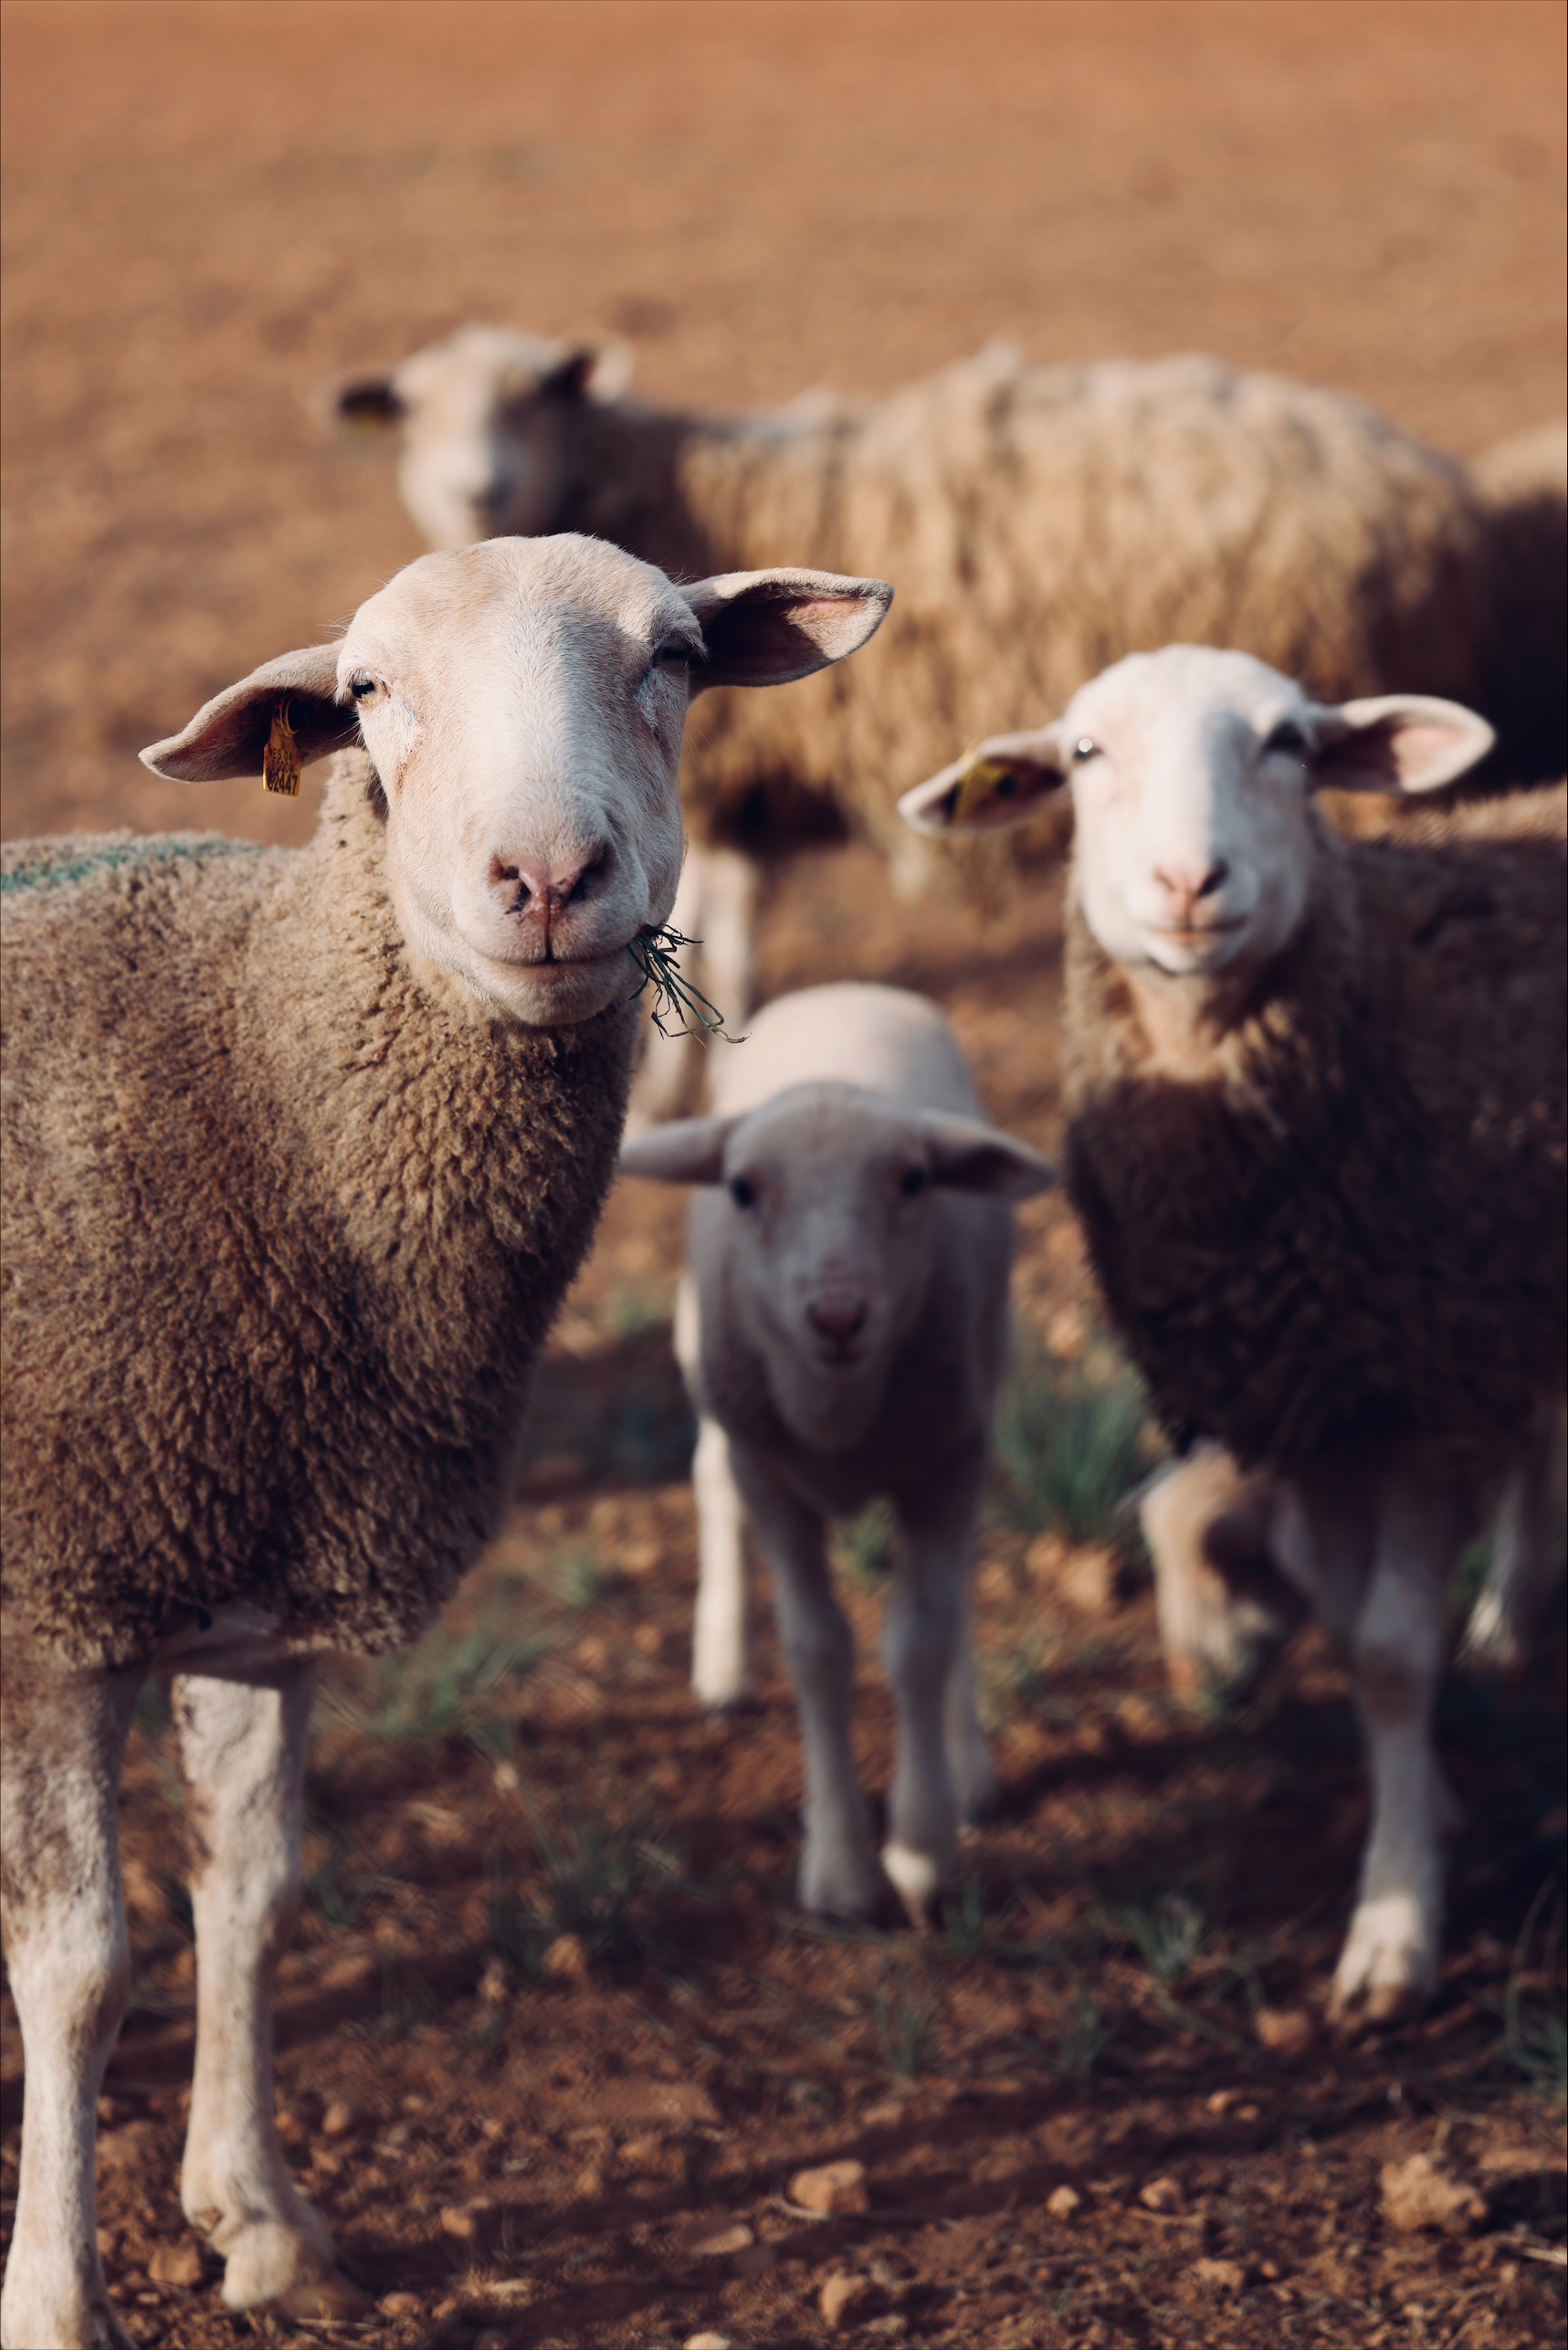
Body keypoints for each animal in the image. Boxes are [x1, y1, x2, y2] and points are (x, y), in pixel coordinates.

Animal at [0, 533, 893, 2350]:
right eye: (365, 692)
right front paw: (58, 2298)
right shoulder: (62, 1596)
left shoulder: (266, 1596)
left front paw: (260, 2218)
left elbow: (252, 1892)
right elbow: (80, 1965)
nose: (547, 875)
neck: (254, 1073)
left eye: (675, 657)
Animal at [321, 331, 1504, 1118]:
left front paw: (682, 1079)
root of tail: (1428, 484)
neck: (663, 488)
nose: (478, 489)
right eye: (415, 414)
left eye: (534, 402)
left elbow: (710, 922)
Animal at [616, 986, 1053, 1926]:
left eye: (914, 1180)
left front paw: (924, 1853)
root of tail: (844, 991)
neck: (836, 1415)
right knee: (709, 1479)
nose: (838, 1315)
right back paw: (721, 1666)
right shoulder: (772, 1480)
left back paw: (967, 1766)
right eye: (743, 1187)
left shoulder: (944, 1464)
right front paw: (841, 1872)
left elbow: (922, 1640)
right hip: (704, 1364)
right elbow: (817, 1650)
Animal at [902, 653, 1561, 2030]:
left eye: (1289, 744)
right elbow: (1341, 1613)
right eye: (1084, 753)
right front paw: (1419, 1801)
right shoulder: (1325, 1389)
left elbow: (1389, 1654)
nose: (1188, 883)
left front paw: (1393, 1928)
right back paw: (1515, 1613)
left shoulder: (1429, 1379)